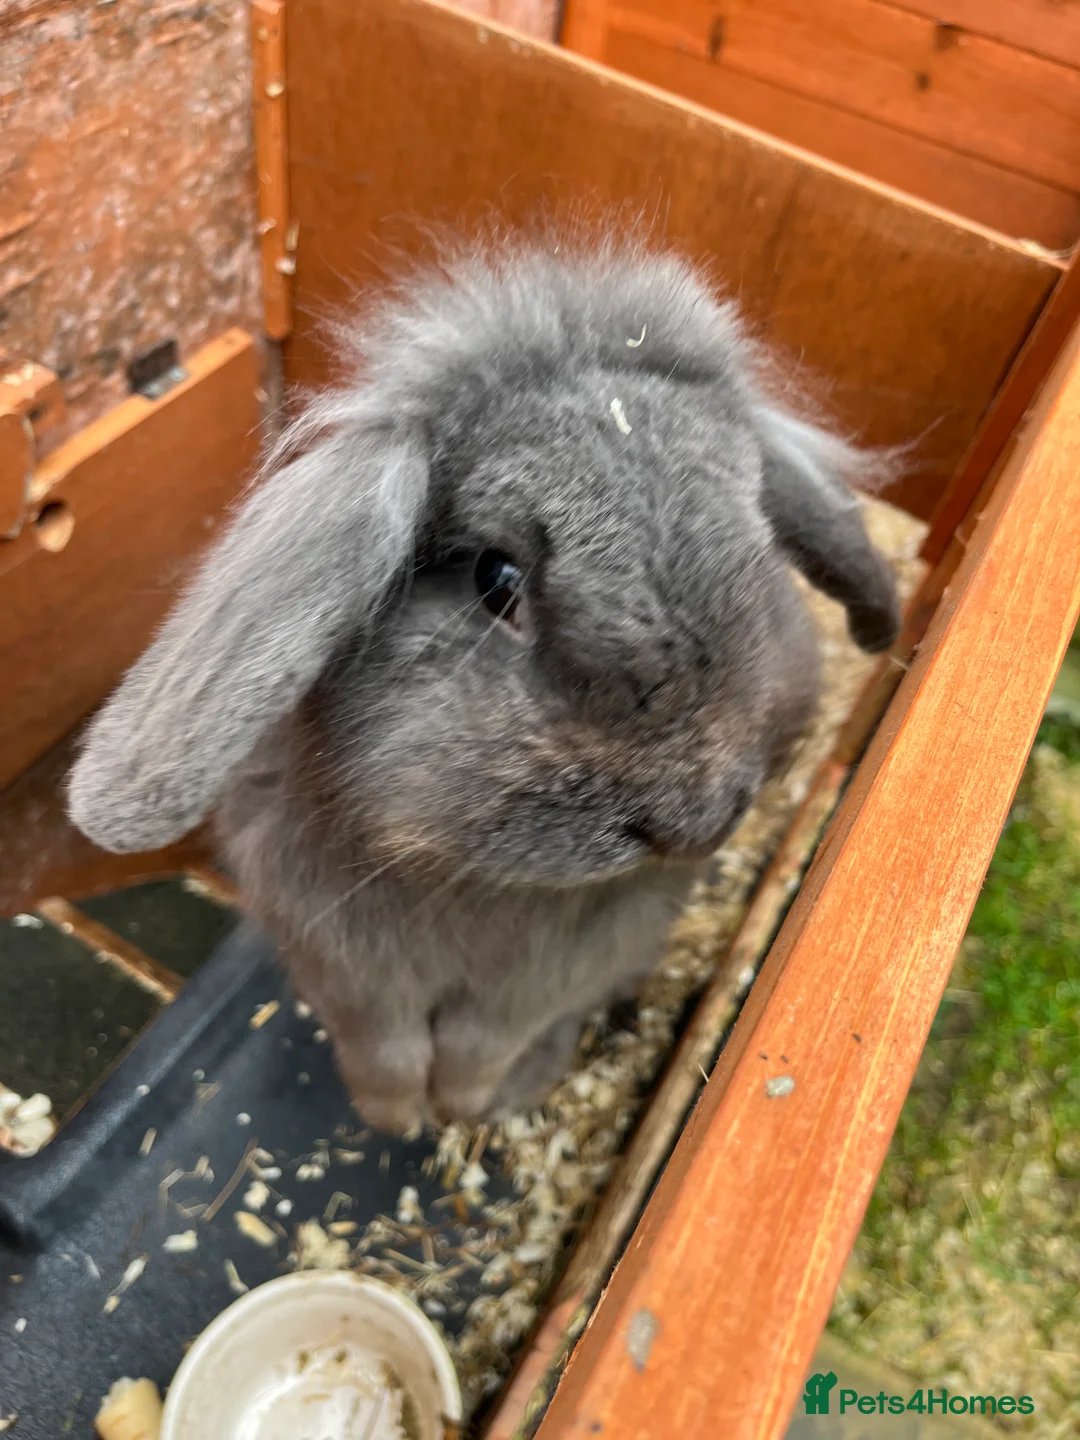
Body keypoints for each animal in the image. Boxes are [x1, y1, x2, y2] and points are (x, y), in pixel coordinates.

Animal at [66, 234, 901, 1134]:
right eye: (495, 579)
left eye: (761, 547)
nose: (695, 825)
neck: (472, 877)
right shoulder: (344, 965)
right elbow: (384, 1045)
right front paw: (395, 1115)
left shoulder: (556, 969)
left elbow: (484, 1038)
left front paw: (464, 1105)